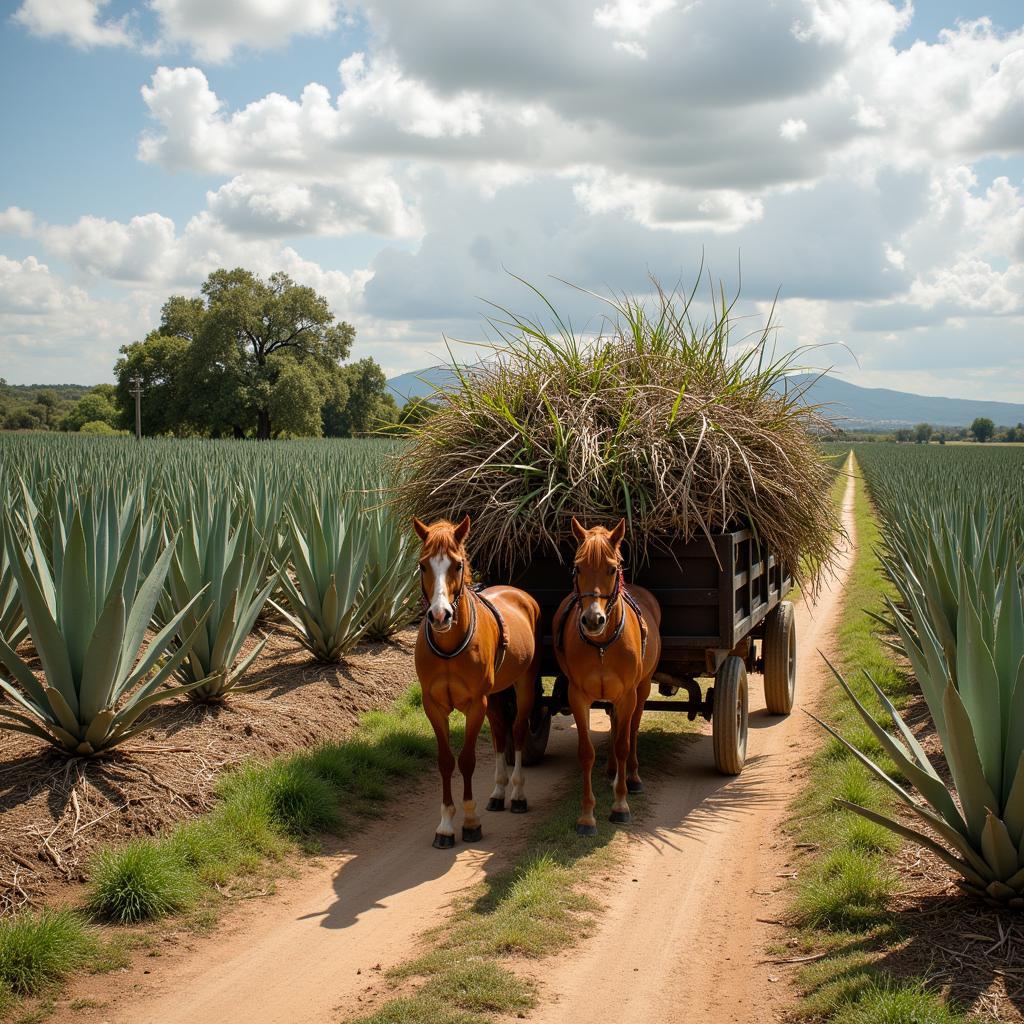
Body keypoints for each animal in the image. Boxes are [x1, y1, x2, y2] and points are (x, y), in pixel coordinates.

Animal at [413, 520, 544, 847]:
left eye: (457, 564)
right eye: (423, 565)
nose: (440, 615)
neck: (449, 647)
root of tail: (519, 593)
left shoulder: (475, 705)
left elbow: (467, 760)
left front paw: (470, 821)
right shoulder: (433, 707)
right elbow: (446, 761)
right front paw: (446, 824)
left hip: (524, 685)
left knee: (517, 731)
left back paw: (517, 794)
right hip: (495, 696)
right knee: (499, 733)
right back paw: (498, 793)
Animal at [552, 516, 663, 835]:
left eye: (612, 568)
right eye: (578, 568)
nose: (593, 620)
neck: (602, 645)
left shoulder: (627, 695)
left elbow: (624, 743)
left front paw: (620, 805)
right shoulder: (577, 697)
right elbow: (586, 752)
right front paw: (587, 816)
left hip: (642, 689)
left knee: (632, 729)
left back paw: (631, 777)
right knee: (615, 726)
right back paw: (613, 771)